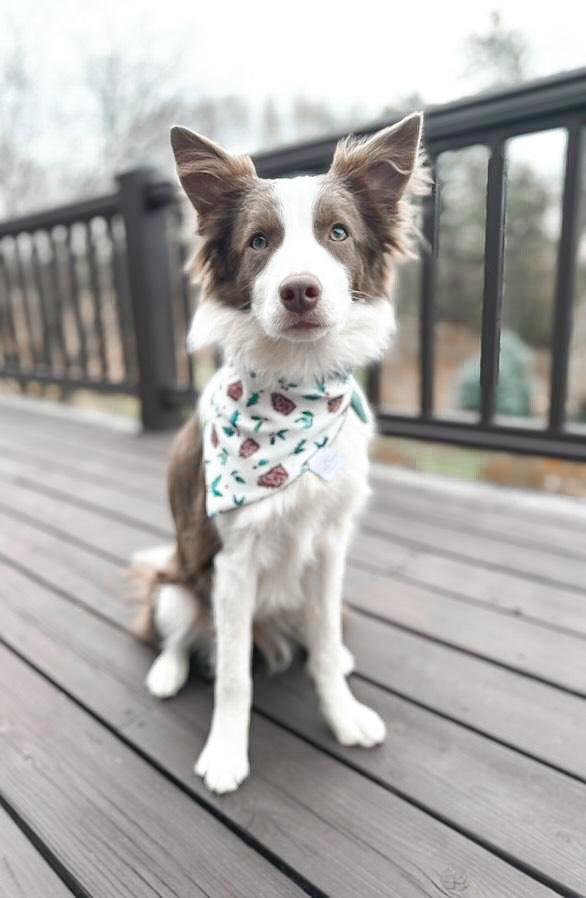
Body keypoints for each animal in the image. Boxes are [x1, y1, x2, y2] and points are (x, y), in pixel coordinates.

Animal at [130, 114, 426, 792]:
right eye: (259, 241)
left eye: (338, 233)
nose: (299, 292)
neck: (298, 390)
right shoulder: (233, 563)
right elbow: (235, 678)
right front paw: (225, 754)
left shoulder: (331, 544)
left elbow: (321, 651)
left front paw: (343, 716)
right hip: (181, 579)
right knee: (180, 632)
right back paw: (167, 672)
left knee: (321, 637)